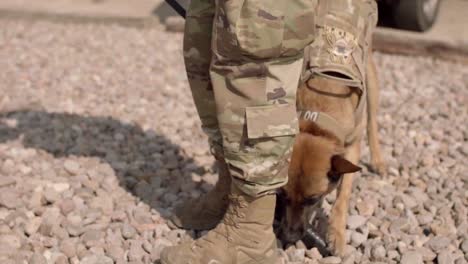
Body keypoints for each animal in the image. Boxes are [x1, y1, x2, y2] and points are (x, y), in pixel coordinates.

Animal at [276, 54, 386, 256]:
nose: (290, 237)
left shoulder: (351, 147)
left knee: (372, 122)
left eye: (313, 199)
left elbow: (343, 195)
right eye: (282, 195)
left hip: (371, 78)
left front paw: (336, 233)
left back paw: (378, 161)